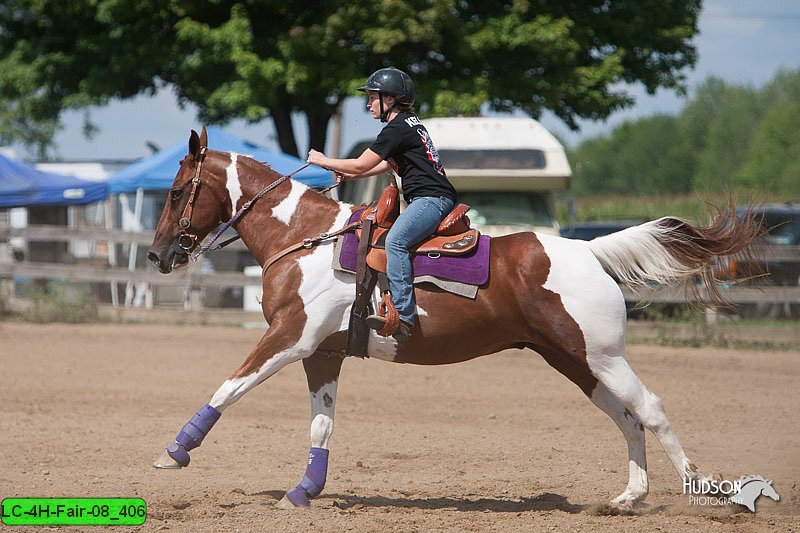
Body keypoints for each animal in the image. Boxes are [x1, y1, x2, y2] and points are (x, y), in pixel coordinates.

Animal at [148, 127, 756, 510]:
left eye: (177, 192)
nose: (157, 256)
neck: (305, 238)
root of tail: (590, 251)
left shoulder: (290, 337)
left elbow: (228, 387)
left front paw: (173, 453)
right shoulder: (321, 352)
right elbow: (322, 424)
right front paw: (304, 492)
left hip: (603, 356)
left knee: (650, 409)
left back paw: (703, 494)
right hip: (575, 360)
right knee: (627, 418)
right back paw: (630, 497)